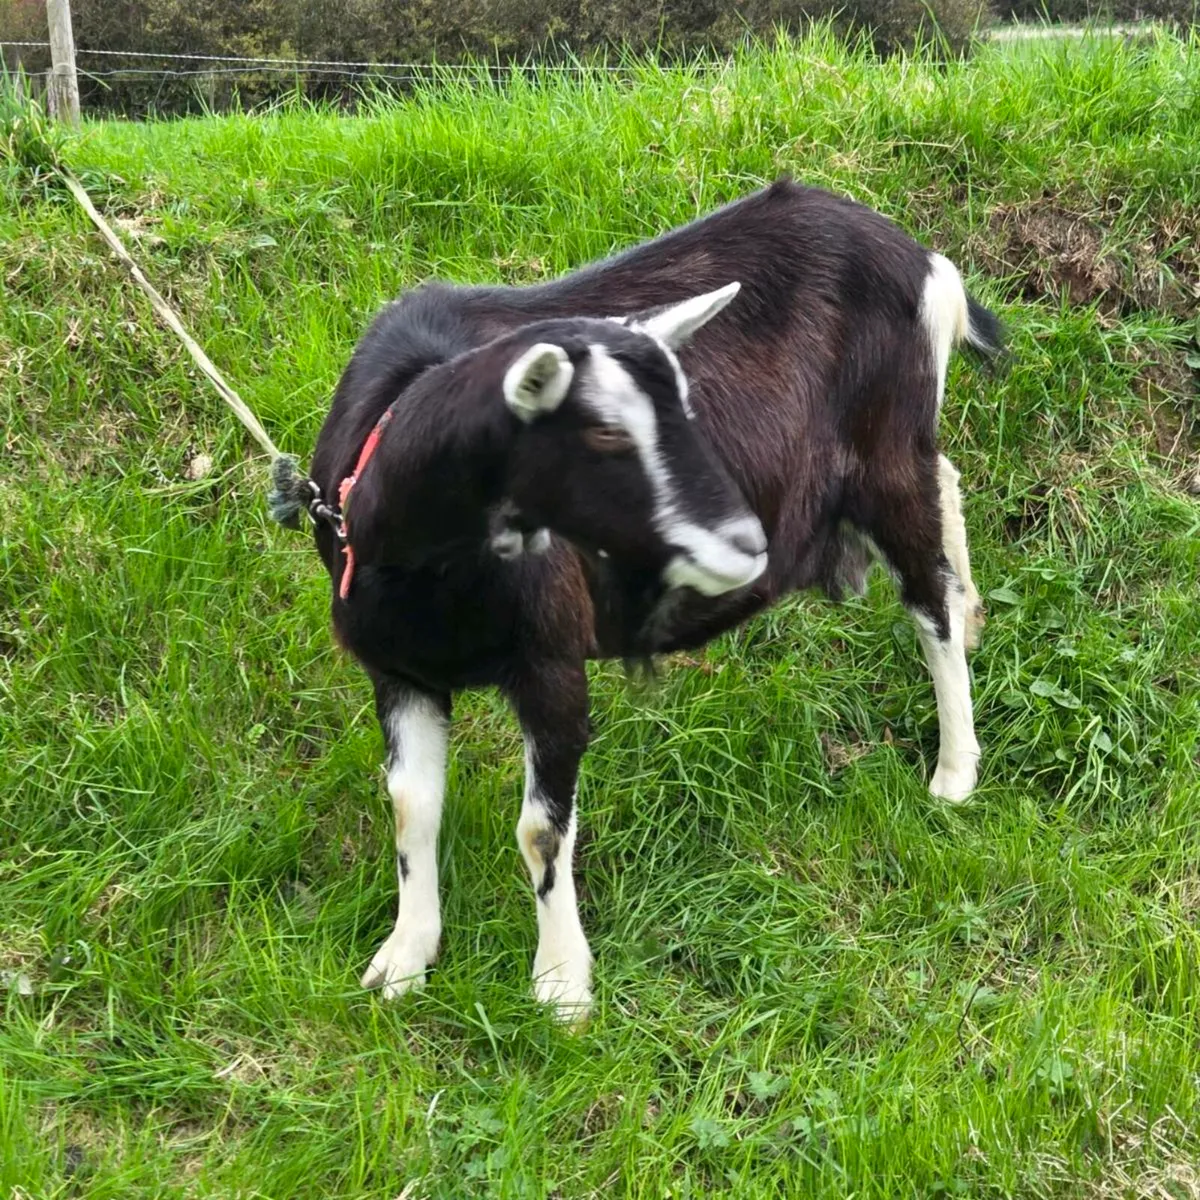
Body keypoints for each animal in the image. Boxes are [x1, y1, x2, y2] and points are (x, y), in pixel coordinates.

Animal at [307, 178, 1003, 1025]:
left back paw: (954, 771)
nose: (747, 540)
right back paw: (973, 618)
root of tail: (925, 262)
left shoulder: (551, 663)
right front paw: (403, 961)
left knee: (926, 594)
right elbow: (411, 805)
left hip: (885, 452)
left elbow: (540, 831)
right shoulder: (398, 670)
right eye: (605, 437)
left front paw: (561, 988)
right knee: (948, 488)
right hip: (902, 450)